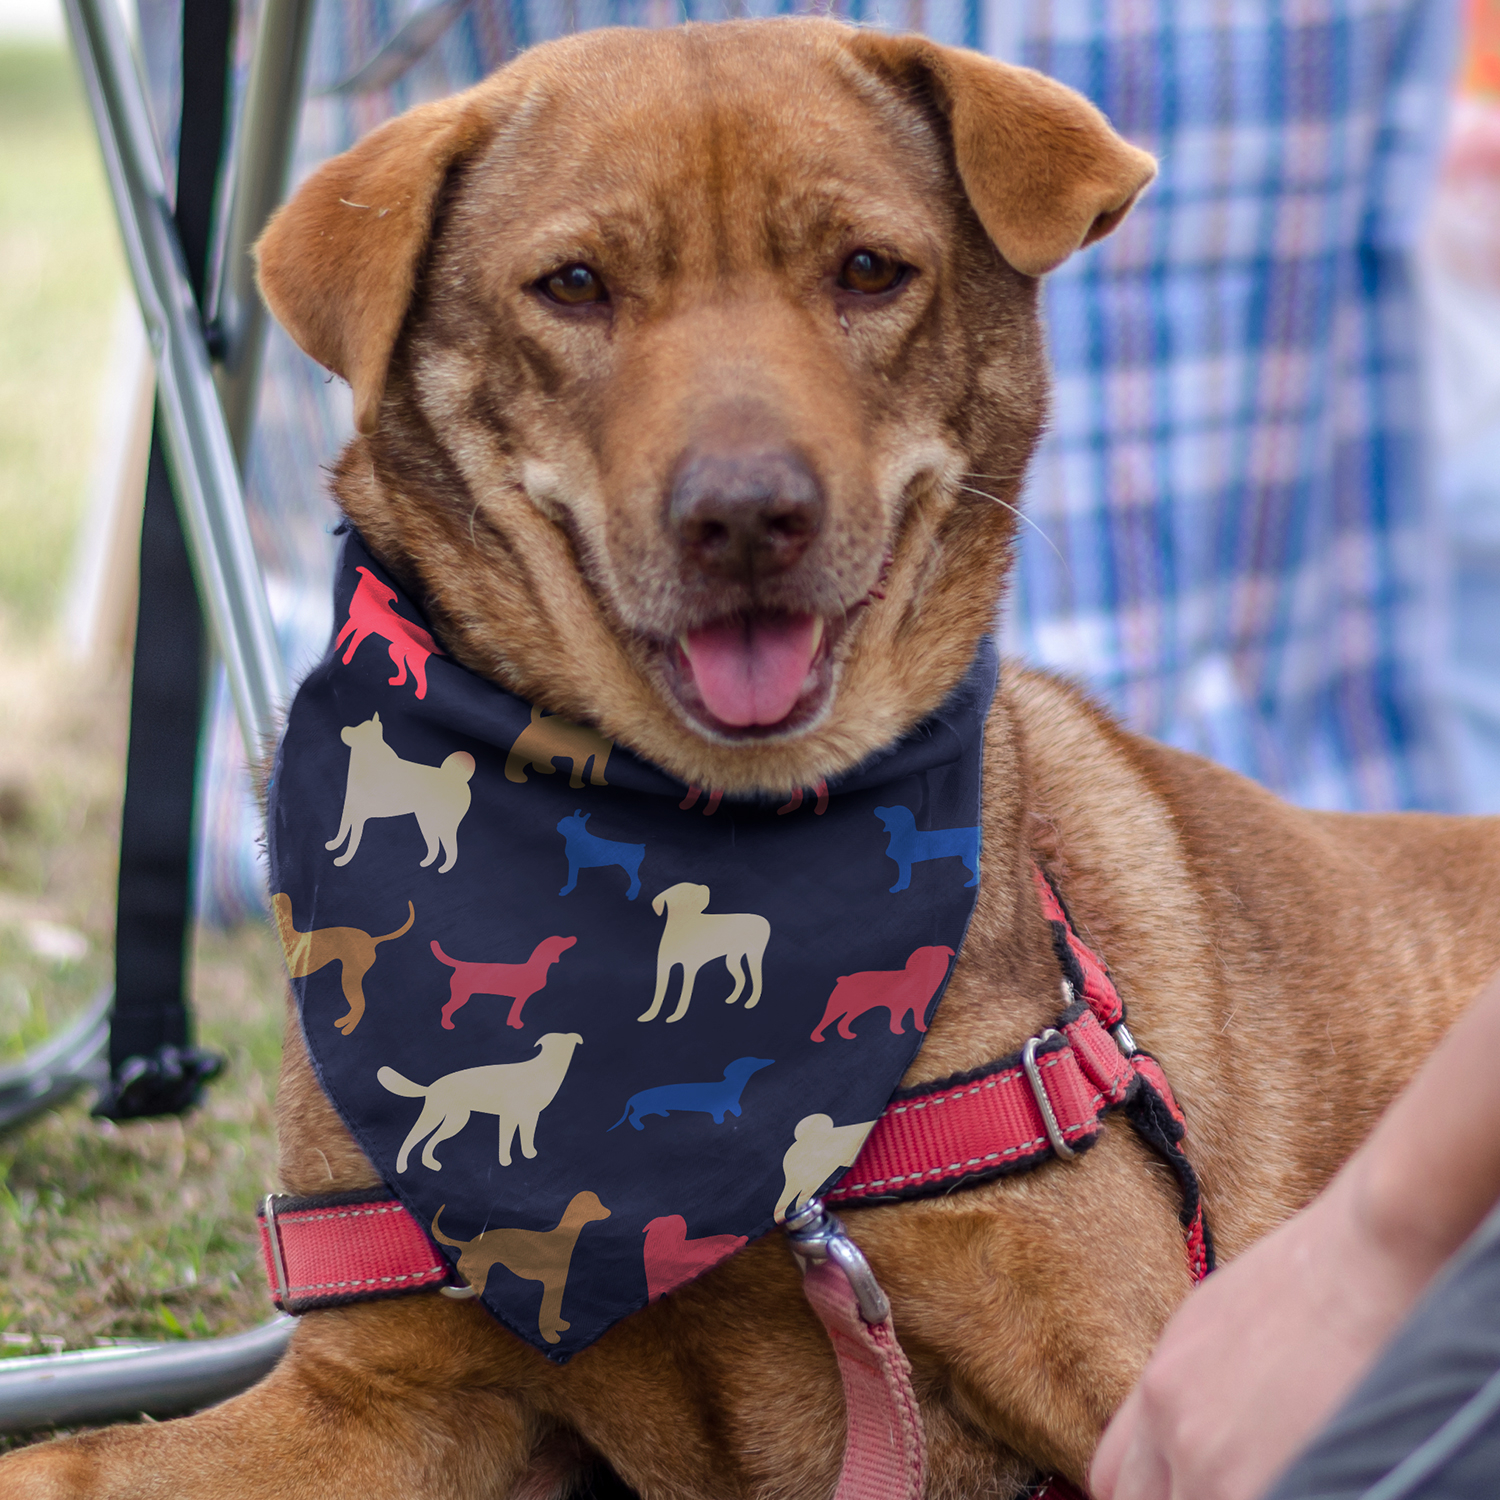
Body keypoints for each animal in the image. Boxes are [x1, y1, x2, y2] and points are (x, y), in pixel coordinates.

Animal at [5, 20, 1494, 1500]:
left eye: (869, 271)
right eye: (575, 285)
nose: (745, 516)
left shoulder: (1144, 1370)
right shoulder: (386, 1396)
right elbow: (73, 1461)